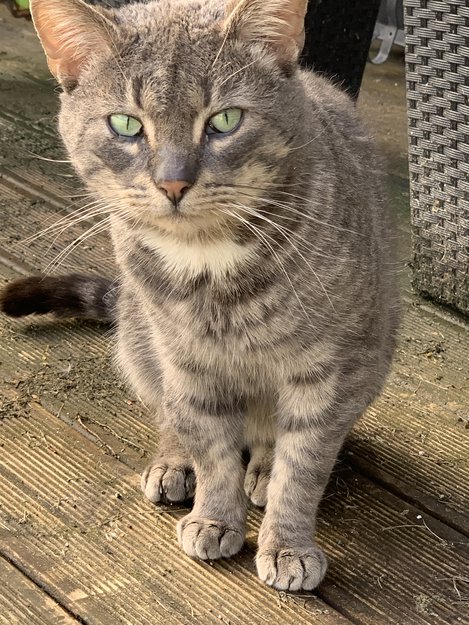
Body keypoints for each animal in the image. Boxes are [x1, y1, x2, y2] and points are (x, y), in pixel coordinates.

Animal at [0, 0, 399, 592]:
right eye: (126, 124)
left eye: (225, 120)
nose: (172, 183)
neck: (210, 266)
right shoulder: (187, 360)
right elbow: (211, 447)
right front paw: (214, 515)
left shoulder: (333, 369)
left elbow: (303, 466)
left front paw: (288, 542)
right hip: (140, 342)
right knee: (172, 415)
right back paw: (174, 462)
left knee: (270, 440)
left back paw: (261, 467)